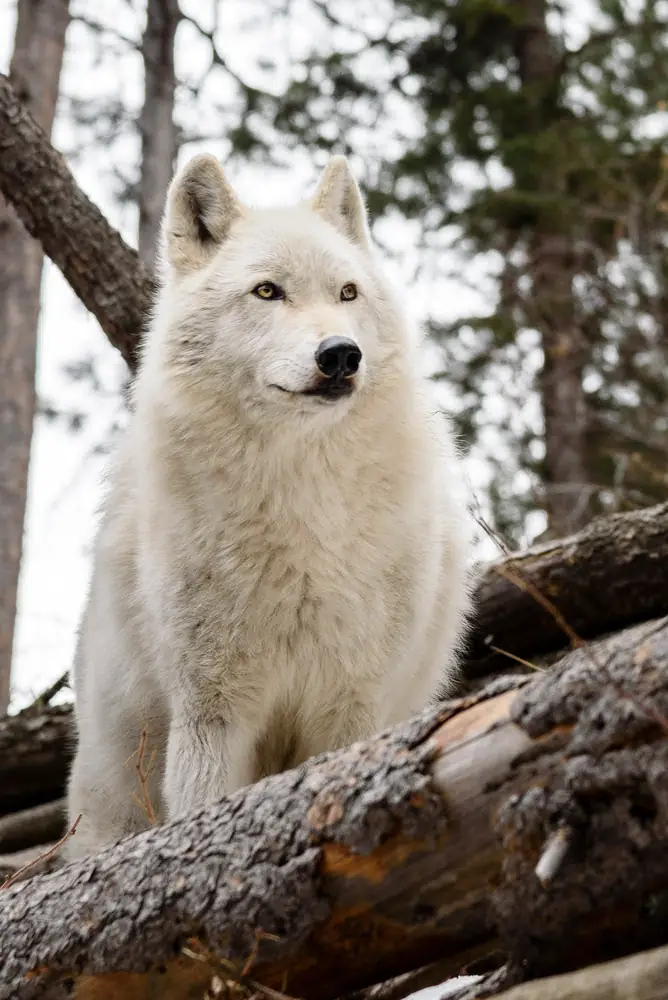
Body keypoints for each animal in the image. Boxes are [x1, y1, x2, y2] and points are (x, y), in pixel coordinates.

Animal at [65, 154, 472, 858]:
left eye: (347, 294)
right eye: (267, 292)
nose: (340, 355)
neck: (299, 504)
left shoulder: (351, 702)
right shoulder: (212, 710)